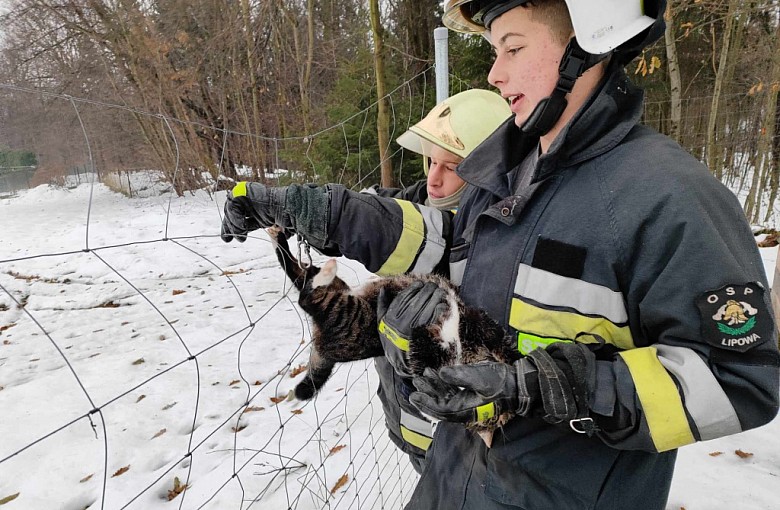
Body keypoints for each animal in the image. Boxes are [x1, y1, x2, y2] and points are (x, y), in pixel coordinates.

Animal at [266, 225, 516, 432]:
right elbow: (490, 336)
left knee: (305, 287)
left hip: (341, 309)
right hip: (345, 308)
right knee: (305, 290)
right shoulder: (473, 323)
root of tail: (324, 348)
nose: (499, 419)